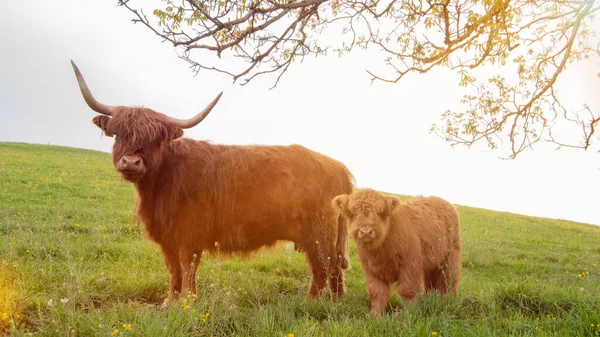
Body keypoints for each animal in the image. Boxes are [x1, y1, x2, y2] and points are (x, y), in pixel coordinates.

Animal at [69, 60, 354, 304]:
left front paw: (187, 301)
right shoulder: (168, 238)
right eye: (118, 133)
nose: (130, 162)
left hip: (318, 234)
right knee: (334, 269)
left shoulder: (190, 236)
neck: (162, 183)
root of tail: (338, 166)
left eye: (156, 138)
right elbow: (173, 269)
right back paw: (336, 302)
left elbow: (187, 267)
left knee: (323, 267)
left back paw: (312, 302)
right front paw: (169, 301)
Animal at [330, 189, 462, 316]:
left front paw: (406, 313)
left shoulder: (410, 266)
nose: (366, 231)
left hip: (450, 257)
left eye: (380, 212)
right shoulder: (372, 270)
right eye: (353, 212)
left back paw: (448, 300)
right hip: (431, 261)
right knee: (431, 280)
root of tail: (446, 203)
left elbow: (406, 290)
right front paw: (375, 314)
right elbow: (377, 292)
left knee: (449, 279)